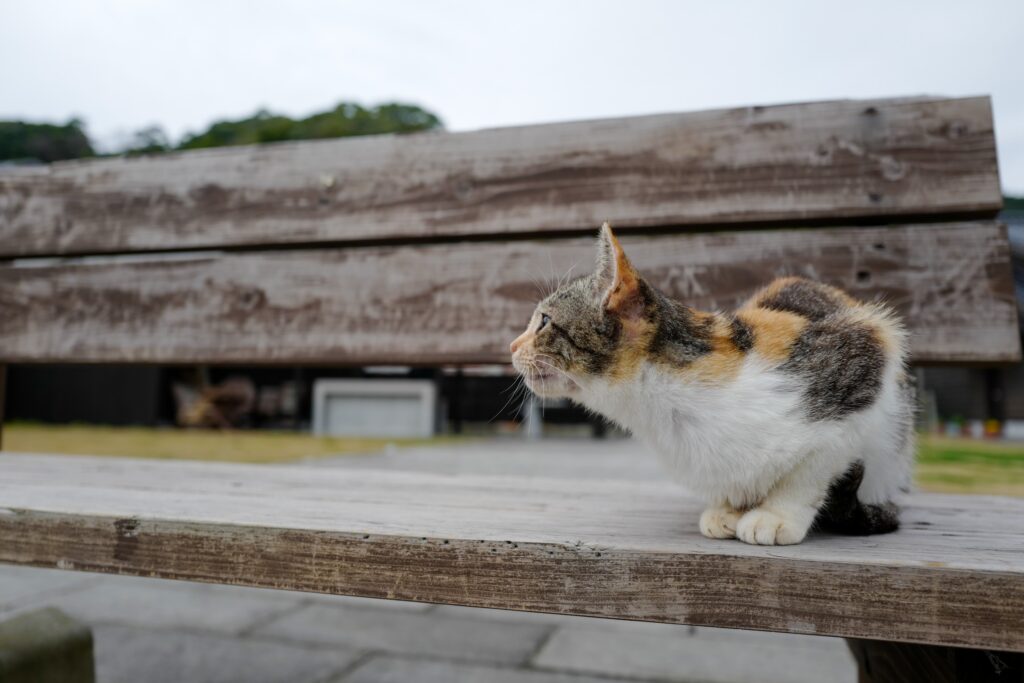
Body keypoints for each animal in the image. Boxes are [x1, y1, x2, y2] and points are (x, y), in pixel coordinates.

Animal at [507, 224, 917, 544]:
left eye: (544, 321)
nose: (511, 346)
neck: (666, 412)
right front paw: (728, 509)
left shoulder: (865, 348)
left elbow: (813, 467)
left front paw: (776, 515)